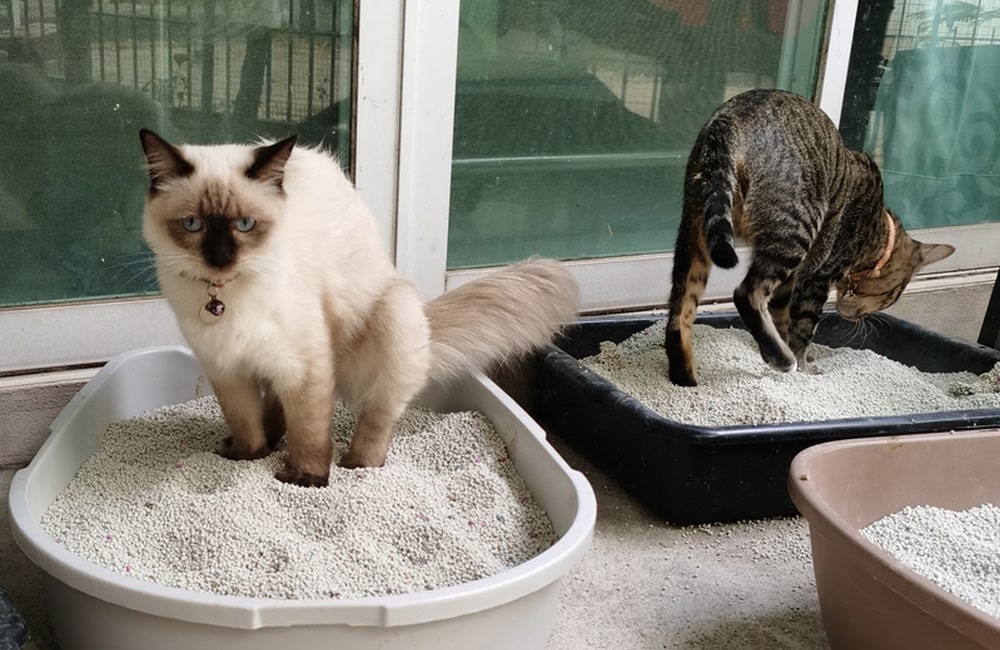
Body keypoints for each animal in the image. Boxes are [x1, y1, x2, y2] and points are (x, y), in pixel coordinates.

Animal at [141, 129, 580, 486]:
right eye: (193, 224)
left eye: (245, 225)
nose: (220, 258)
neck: (224, 297)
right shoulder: (226, 368)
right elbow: (247, 425)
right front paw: (249, 456)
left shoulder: (305, 364)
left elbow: (310, 432)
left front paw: (306, 480)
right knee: (278, 412)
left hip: (389, 319)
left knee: (376, 419)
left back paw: (356, 465)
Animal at [664, 90, 952, 384]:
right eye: (891, 297)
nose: (858, 317)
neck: (876, 233)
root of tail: (729, 119)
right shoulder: (816, 277)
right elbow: (803, 328)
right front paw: (802, 366)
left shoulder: (791, 282)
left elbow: (782, 318)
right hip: (795, 230)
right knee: (746, 294)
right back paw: (782, 359)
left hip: (695, 233)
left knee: (679, 315)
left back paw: (686, 378)